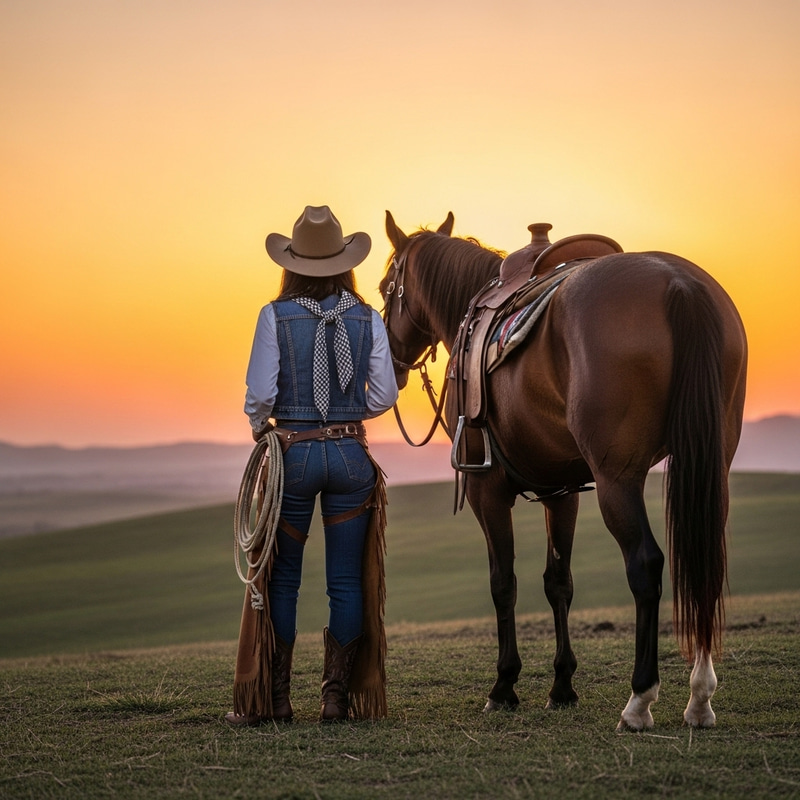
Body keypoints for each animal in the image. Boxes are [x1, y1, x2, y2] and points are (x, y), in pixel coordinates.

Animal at [380, 211, 747, 730]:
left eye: (384, 287)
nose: (390, 362)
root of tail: (679, 282)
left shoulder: (486, 490)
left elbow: (503, 583)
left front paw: (504, 687)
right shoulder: (562, 491)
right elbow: (559, 583)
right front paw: (562, 686)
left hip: (618, 478)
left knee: (646, 563)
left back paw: (640, 700)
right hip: (712, 464)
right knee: (704, 561)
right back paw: (699, 698)